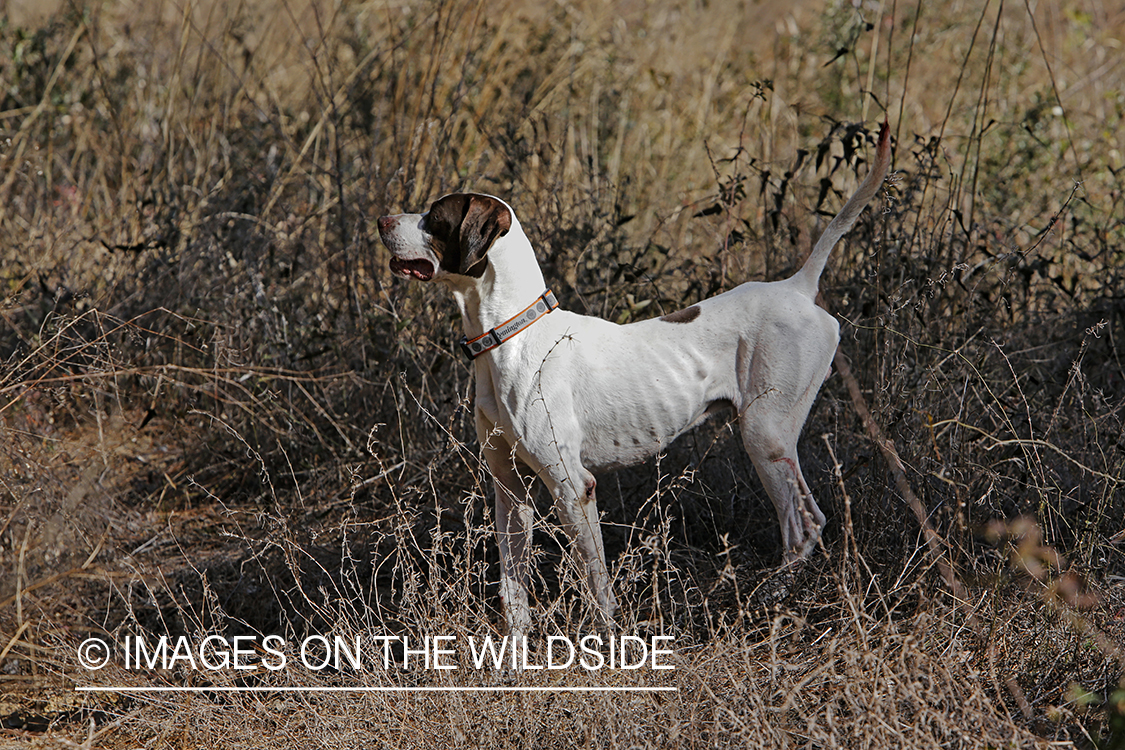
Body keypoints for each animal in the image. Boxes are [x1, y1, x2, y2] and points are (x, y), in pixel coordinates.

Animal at [382, 123, 891, 638]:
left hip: (765, 435)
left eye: (435, 217)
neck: (510, 334)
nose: (382, 220)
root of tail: (797, 287)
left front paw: (606, 636)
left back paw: (768, 600)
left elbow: (595, 581)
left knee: (802, 525)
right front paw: (516, 645)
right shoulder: (509, 487)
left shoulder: (573, 486)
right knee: (813, 520)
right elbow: (512, 584)